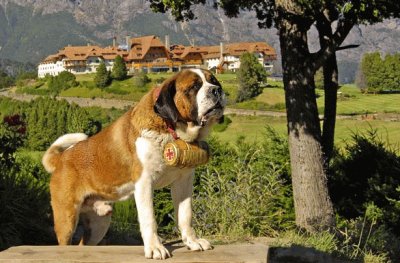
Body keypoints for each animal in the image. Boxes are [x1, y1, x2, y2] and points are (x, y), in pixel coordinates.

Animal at [43, 68, 227, 260]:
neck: (171, 129)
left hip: (99, 223)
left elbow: (185, 214)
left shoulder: (183, 181)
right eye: (194, 87)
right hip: (67, 218)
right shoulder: (144, 183)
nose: (217, 90)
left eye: (214, 81)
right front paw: (155, 248)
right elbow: (149, 219)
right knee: (65, 240)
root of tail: (62, 158)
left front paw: (192, 241)